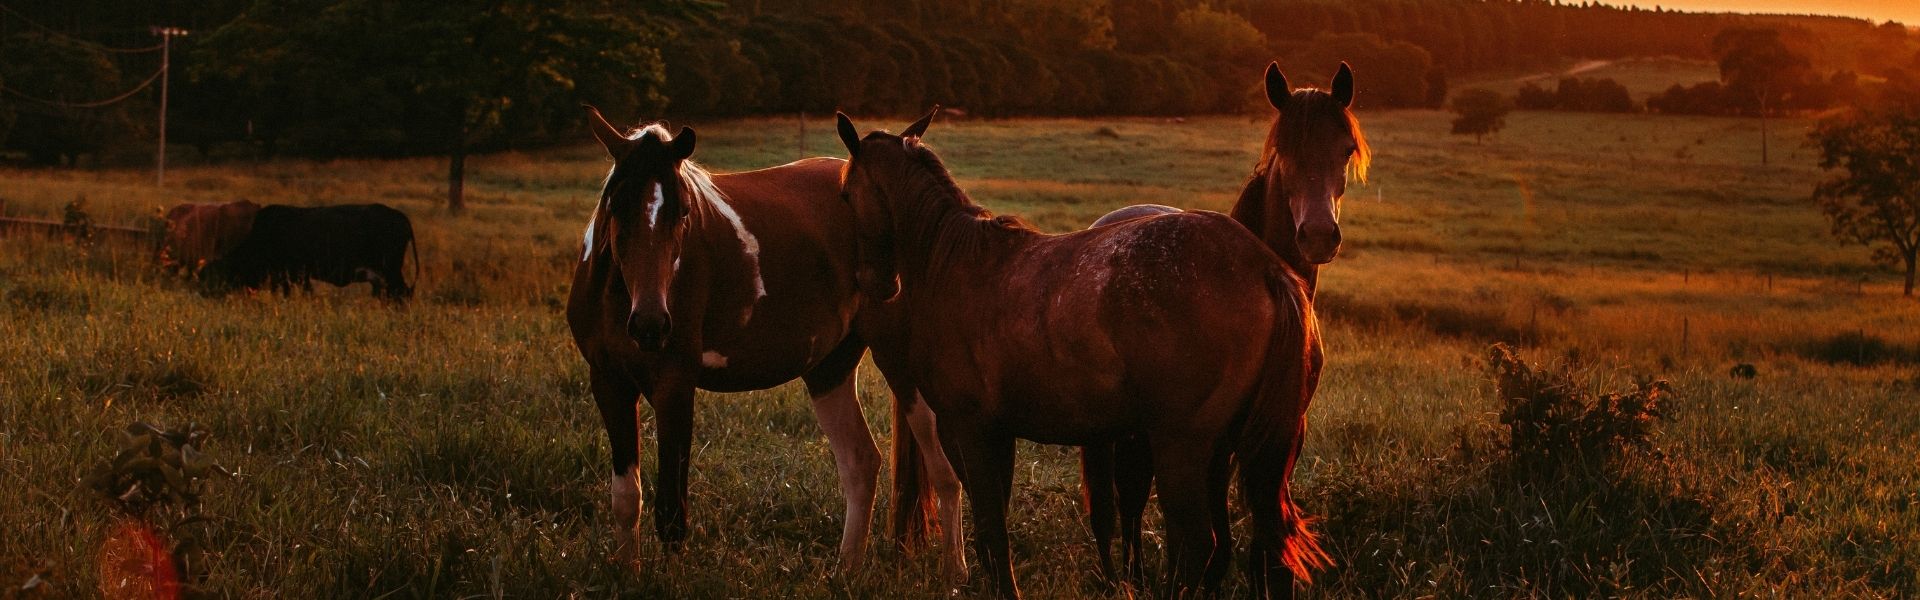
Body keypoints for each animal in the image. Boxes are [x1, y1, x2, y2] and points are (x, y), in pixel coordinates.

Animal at [566, 106, 962, 573]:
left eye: (683, 211)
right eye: (617, 205)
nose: (650, 324)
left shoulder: (674, 387)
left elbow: (672, 510)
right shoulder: (609, 384)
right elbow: (627, 499)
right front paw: (630, 573)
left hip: (903, 369)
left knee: (943, 471)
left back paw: (955, 572)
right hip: (829, 368)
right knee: (861, 462)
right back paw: (846, 571)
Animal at [836, 110, 1326, 598]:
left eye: (844, 193)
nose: (877, 285)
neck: (955, 264)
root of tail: (1265, 268)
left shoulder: (969, 429)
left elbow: (991, 530)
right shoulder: (998, 433)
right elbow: (995, 528)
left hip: (1182, 445)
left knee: (1195, 545)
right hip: (1235, 449)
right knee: (1259, 543)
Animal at [1080, 61, 1371, 590]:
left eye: (1345, 149)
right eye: (1283, 149)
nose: (1319, 235)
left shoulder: (1283, 436)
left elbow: (1263, 547)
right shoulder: (1212, 448)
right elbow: (1216, 548)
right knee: (1118, 508)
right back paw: (1126, 578)